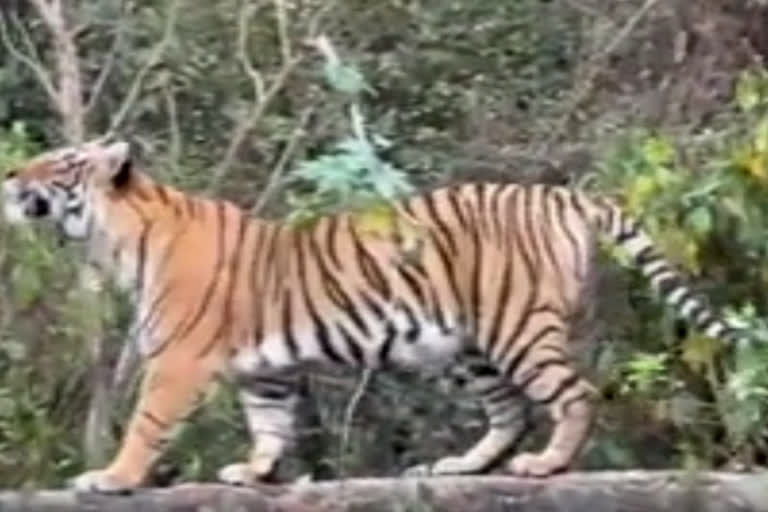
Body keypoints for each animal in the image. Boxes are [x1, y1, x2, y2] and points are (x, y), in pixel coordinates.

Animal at [3, 137, 748, 492]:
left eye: (61, 162)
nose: (12, 175)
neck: (113, 237)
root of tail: (561, 196)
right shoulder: (265, 371)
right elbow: (270, 424)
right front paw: (254, 473)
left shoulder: (178, 361)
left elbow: (146, 426)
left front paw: (111, 479)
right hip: (469, 348)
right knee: (508, 410)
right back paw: (462, 468)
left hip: (516, 327)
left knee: (574, 394)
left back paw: (544, 466)